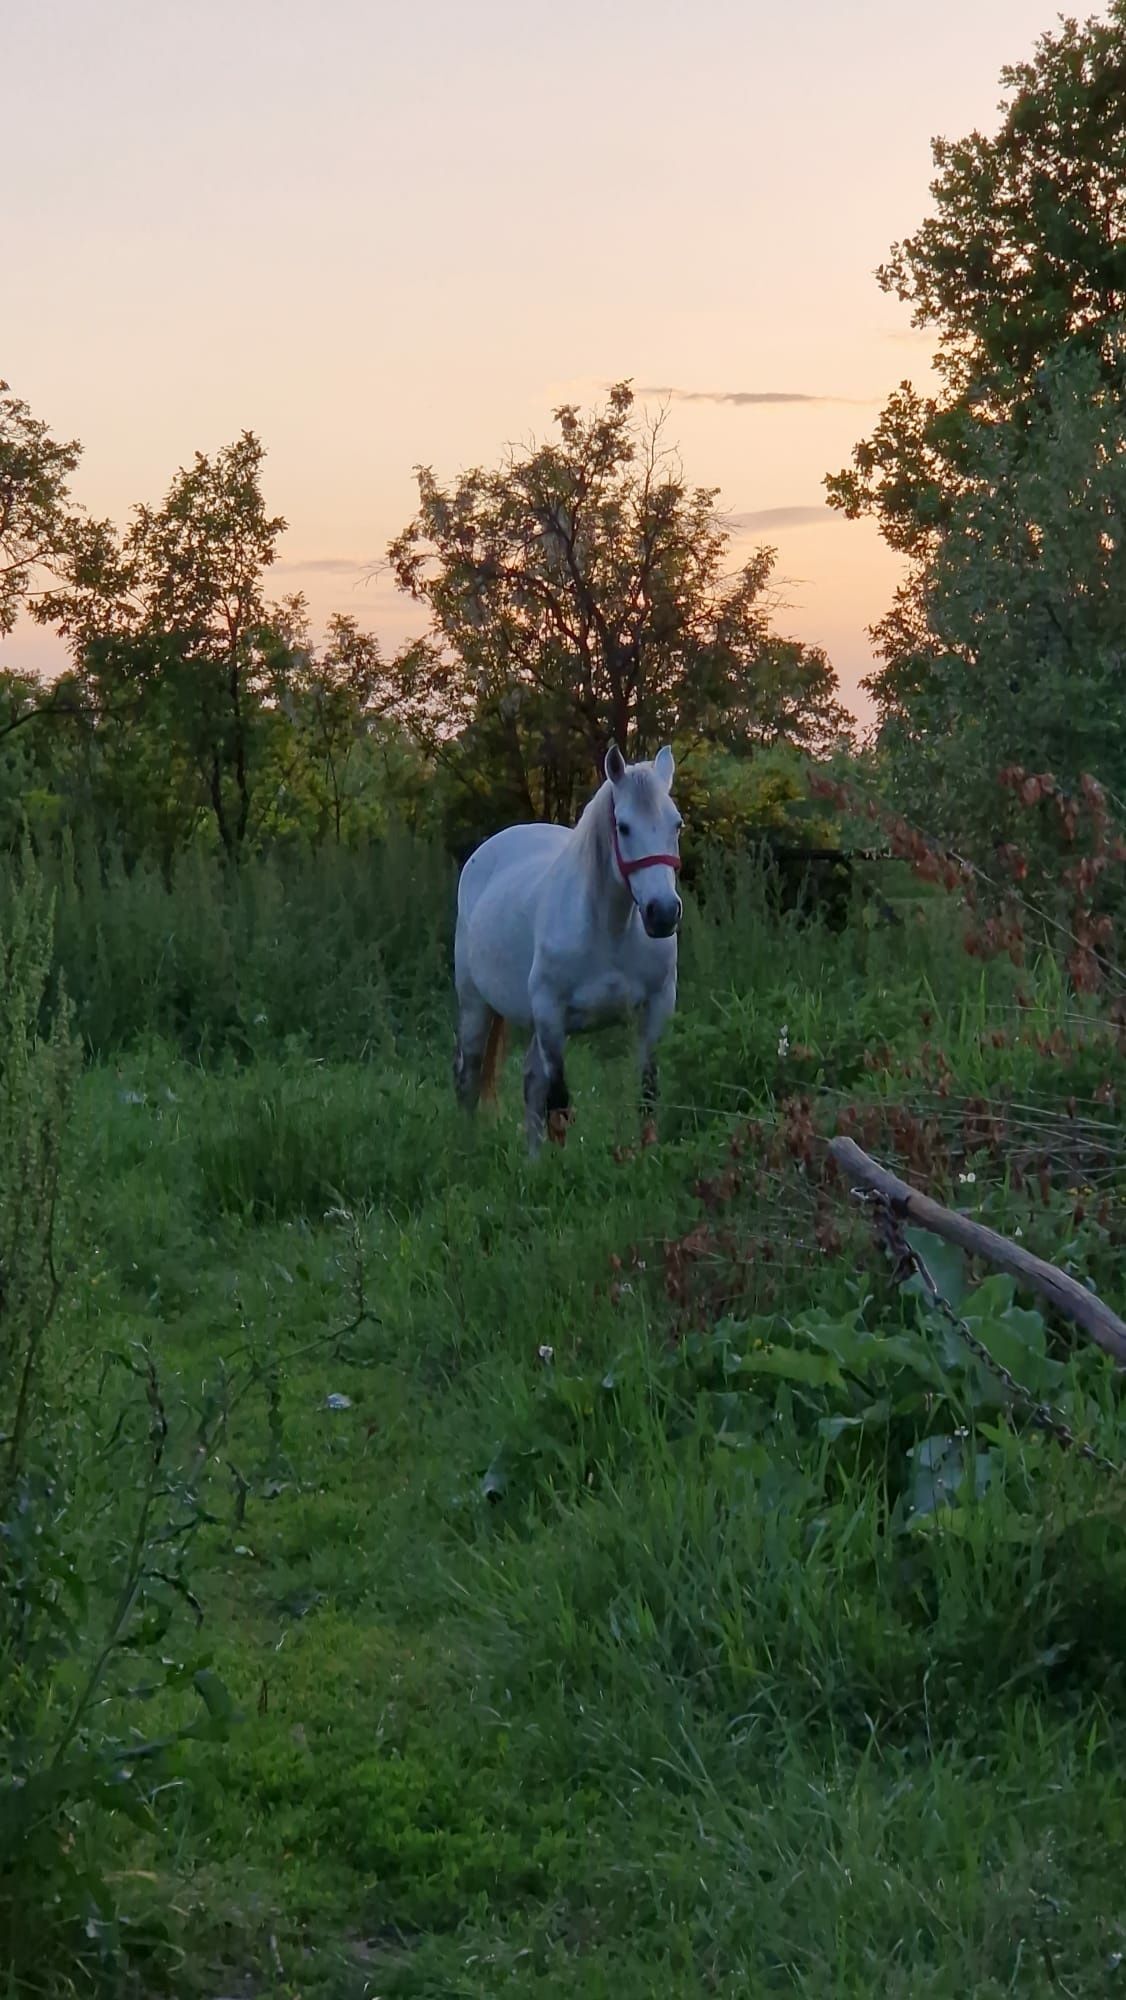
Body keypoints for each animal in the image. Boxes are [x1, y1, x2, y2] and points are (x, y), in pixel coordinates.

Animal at [454, 748, 684, 1160]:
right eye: (624, 827)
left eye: (677, 825)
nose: (662, 913)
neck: (610, 932)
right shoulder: (550, 1014)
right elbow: (558, 1102)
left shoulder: (658, 1006)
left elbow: (647, 1091)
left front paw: (648, 1155)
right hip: (475, 1004)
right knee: (470, 1077)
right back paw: (469, 1149)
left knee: (530, 1080)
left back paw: (531, 1161)